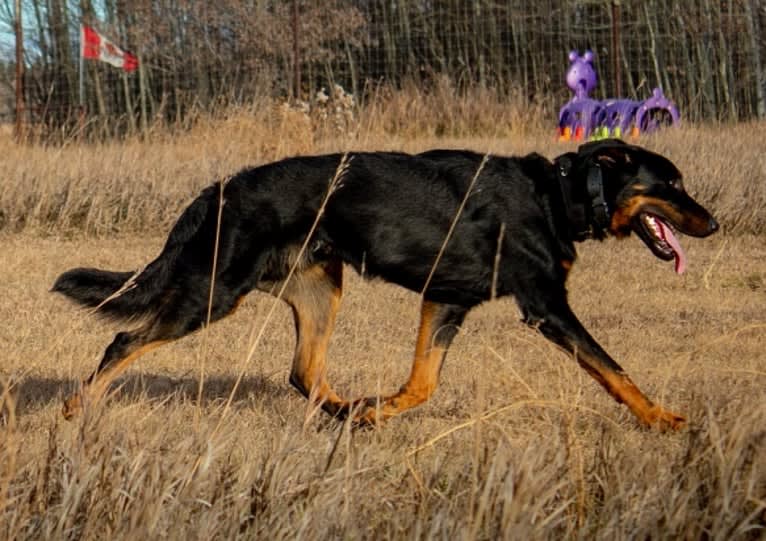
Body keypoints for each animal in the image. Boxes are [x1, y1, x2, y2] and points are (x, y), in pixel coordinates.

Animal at [52, 139, 720, 430]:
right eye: (670, 184)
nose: (714, 223)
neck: (558, 196)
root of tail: (220, 189)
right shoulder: (546, 307)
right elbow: (616, 371)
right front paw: (664, 420)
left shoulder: (445, 301)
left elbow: (422, 383)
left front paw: (380, 409)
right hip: (212, 292)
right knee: (122, 342)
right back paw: (76, 408)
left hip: (321, 290)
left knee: (303, 372)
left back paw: (351, 413)